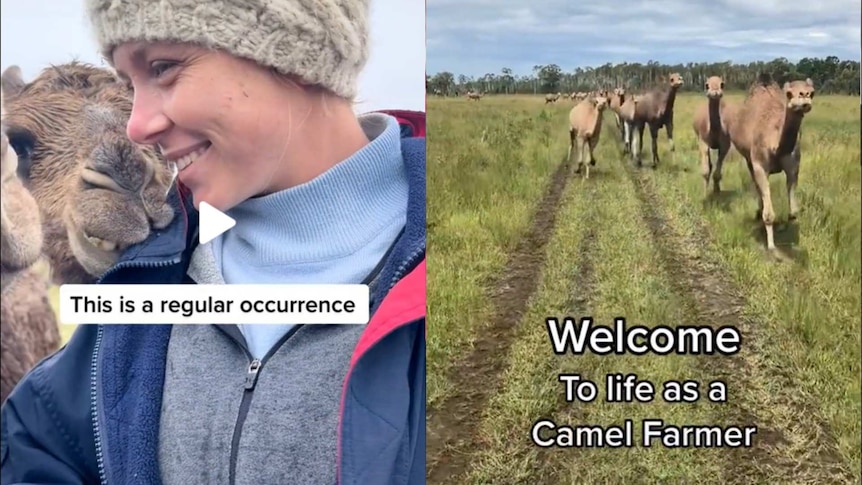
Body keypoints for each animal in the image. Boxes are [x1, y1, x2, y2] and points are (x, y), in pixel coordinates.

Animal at [728, 74, 816, 253]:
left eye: (813, 92)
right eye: (789, 93)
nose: (804, 97)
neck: (775, 145)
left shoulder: (794, 166)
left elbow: (793, 212)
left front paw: (785, 231)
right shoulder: (760, 165)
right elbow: (769, 215)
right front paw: (771, 246)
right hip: (749, 158)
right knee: (756, 183)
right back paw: (758, 211)